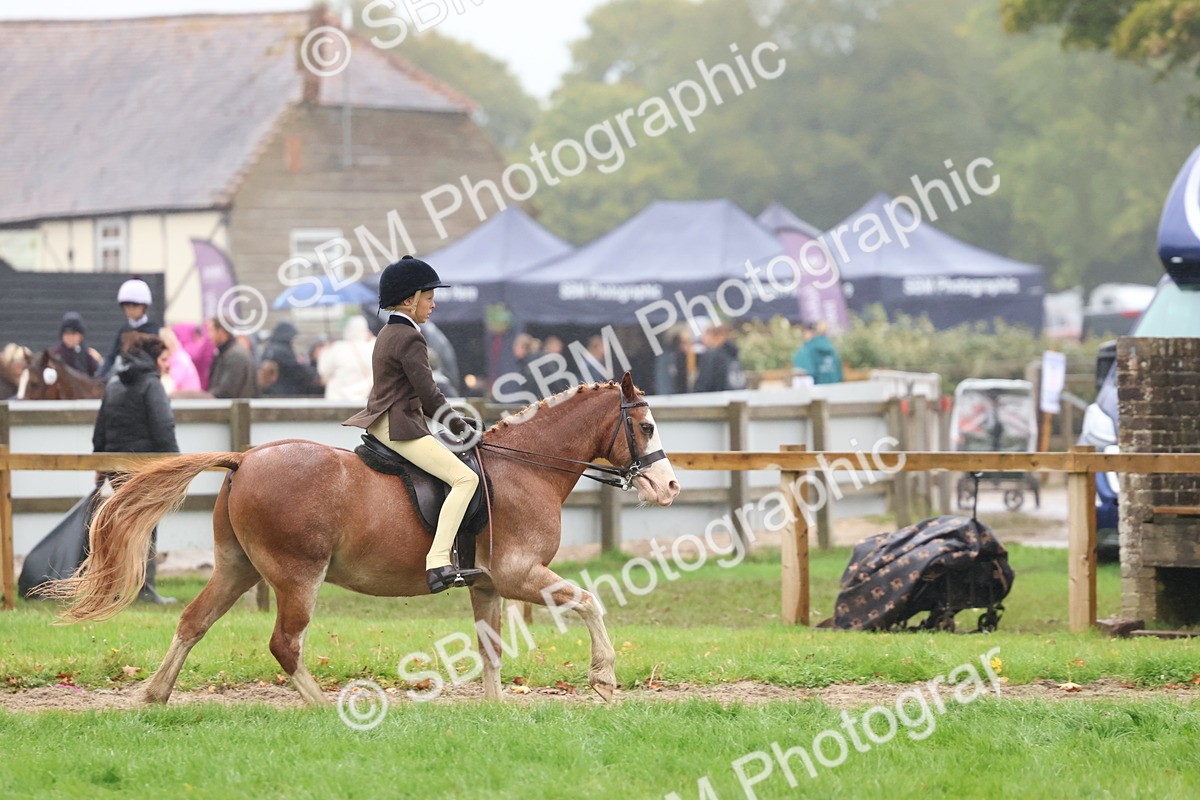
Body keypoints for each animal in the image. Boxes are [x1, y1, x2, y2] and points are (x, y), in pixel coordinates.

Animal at [43, 373, 681, 705]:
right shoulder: (522, 575)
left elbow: (491, 649)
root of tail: (245, 458)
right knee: (284, 644)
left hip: (236, 568)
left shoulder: (489, 585)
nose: (670, 485)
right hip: (297, 575)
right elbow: (590, 603)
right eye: (647, 425)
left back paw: (155, 695)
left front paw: (495, 711)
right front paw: (604, 679)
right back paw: (326, 711)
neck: (526, 468)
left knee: (194, 622)